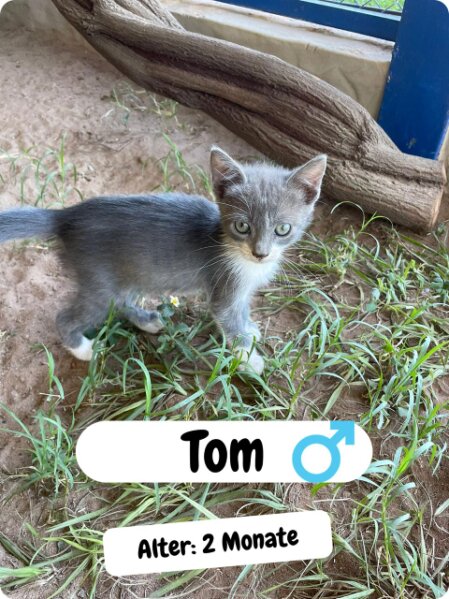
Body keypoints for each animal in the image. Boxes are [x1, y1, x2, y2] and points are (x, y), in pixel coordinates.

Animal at [0, 147, 326, 374]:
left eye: (282, 229)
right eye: (242, 226)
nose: (261, 253)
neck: (238, 255)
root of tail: (65, 216)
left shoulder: (241, 291)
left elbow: (241, 315)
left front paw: (250, 330)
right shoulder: (225, 286)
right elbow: (229, 320)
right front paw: (249, 361)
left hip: (125, 274)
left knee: (121, 300)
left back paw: (147, 321)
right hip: (98, 282)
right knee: (68, 317)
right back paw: (85, 349)